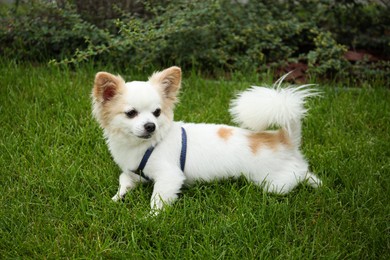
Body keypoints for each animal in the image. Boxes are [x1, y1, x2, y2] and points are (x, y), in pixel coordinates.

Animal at [91, 65, 320, 211]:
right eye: (131, 113)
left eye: (156, 112)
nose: (150, 126)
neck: (144, 145)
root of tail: (283, 138)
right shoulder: (135, 173)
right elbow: (124, 181)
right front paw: (116, 198)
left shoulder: (169, 176)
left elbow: (158, 199)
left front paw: (150, 218)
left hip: (274, 183)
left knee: (294, 178)